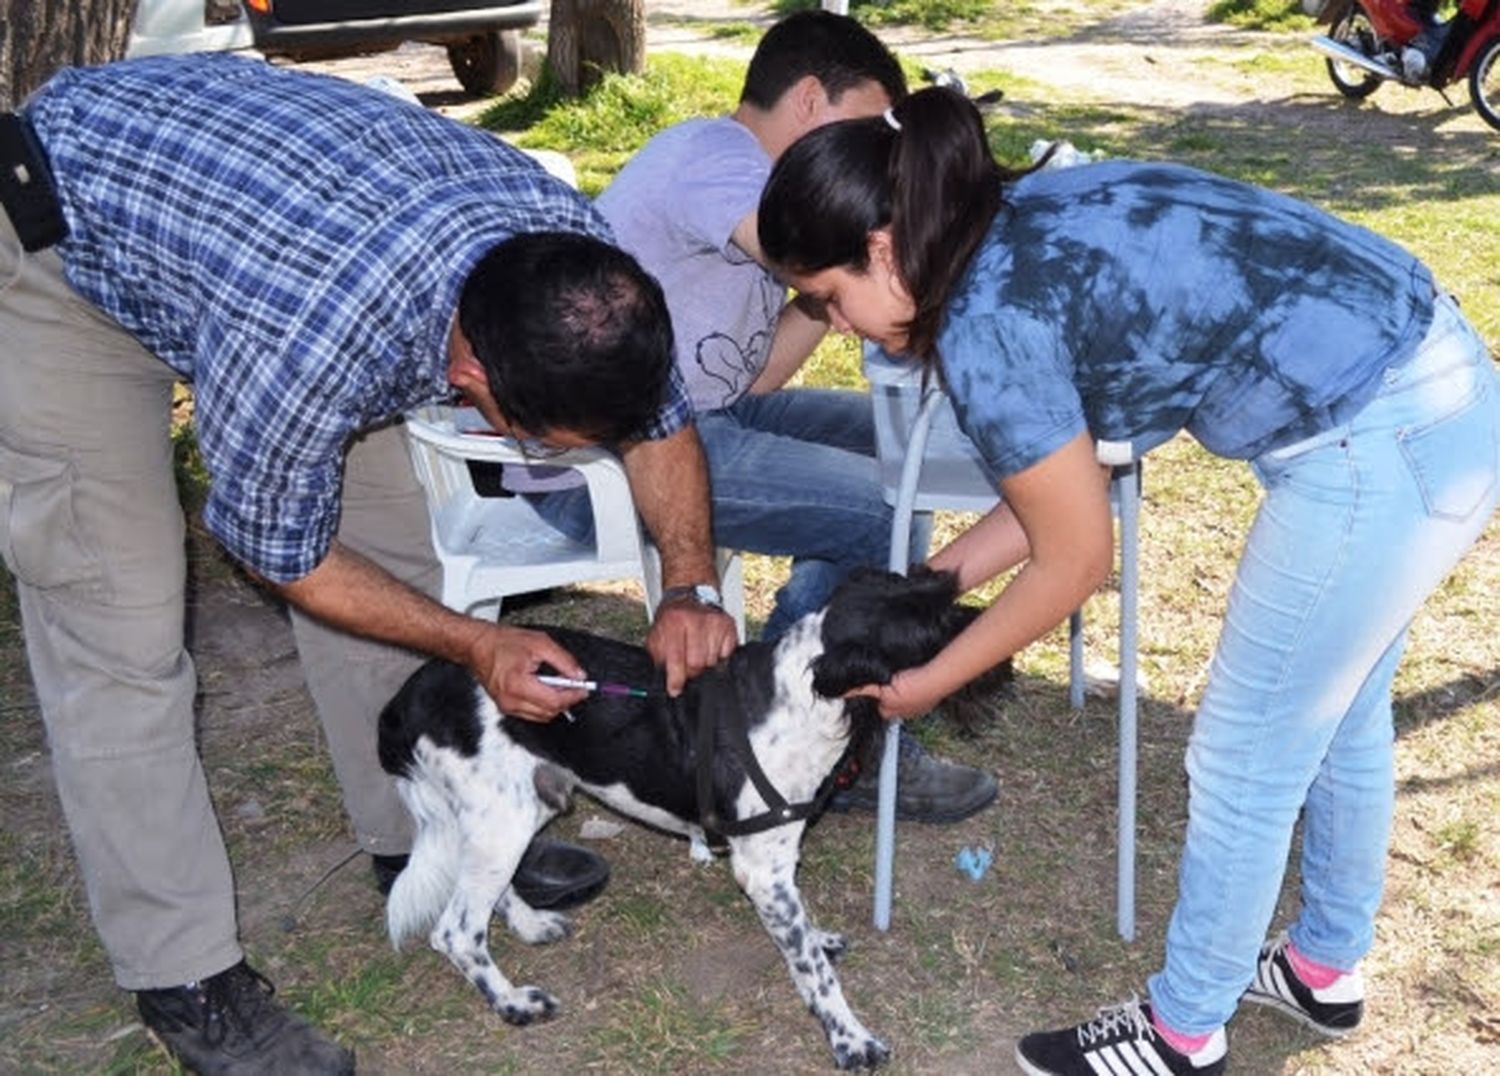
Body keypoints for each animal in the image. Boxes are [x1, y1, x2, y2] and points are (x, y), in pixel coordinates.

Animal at [375, 561, 984, 1068]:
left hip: (513, 812)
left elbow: (804, 934)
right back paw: (512, 1002)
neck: (798, 699)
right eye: (932, 629)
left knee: (487, 897)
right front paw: (850, 1039)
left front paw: (818, 937)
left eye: (940, 587)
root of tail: (407, 698)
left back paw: (530, 924)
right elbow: (814, 970)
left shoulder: (778, 859)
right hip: (502, 817)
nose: (984, 628)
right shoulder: (761, 870)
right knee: (456, 931)